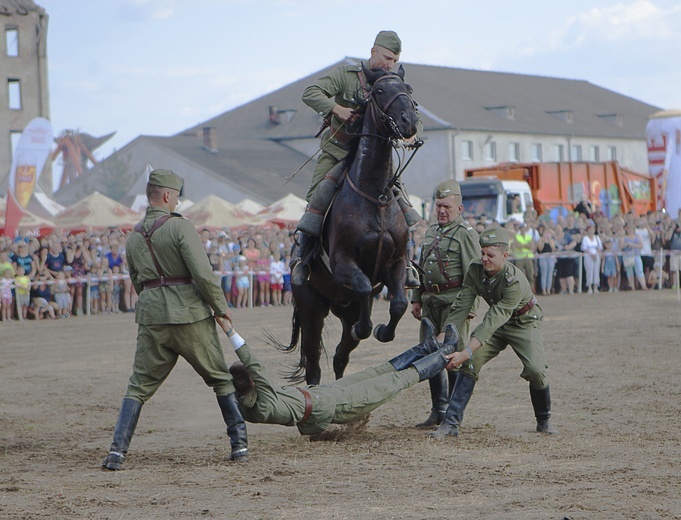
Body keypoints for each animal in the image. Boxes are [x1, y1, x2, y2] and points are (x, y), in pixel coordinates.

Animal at [282, 65, 420, 384]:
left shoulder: (397, 261)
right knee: (314, 362)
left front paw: (382, 330)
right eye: (380, 91)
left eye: (408, 88)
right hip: (311, 310)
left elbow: (399, 303)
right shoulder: (344, 262)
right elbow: (363, 286)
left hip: (344, 308)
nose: (408, 121)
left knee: (340, 356)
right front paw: (368, 327)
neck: (375, 195)